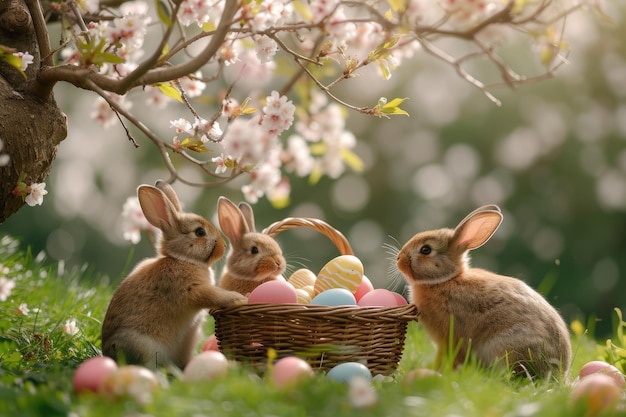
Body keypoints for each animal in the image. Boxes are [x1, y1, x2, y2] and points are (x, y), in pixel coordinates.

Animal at [101, 180, 245, 368]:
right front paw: (239, 299)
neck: (183, 259)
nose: (224, 246)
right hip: (142, 345)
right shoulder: (189, 289)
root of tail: (106, 353)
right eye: (200, 232)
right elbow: (212, 295)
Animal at [394, 205, 572, 376]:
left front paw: (439, 373)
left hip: (508, 346)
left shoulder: (451, 338)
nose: (399, 258)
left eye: (426, 250)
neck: (445, 280)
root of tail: (560, 371)